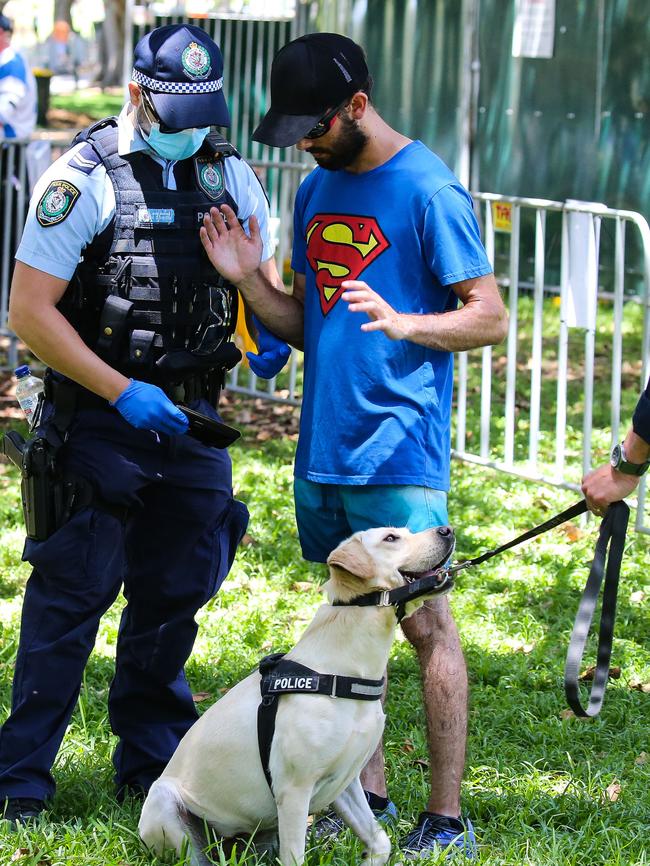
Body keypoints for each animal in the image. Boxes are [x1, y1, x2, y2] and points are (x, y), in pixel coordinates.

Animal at [139, 524, 454, 864]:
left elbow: (380, 842)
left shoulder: (346, 781)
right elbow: (296, 857)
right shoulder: (294, 790)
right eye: (391, 538)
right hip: (166, 804)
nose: (447, 530)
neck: (347, 670)